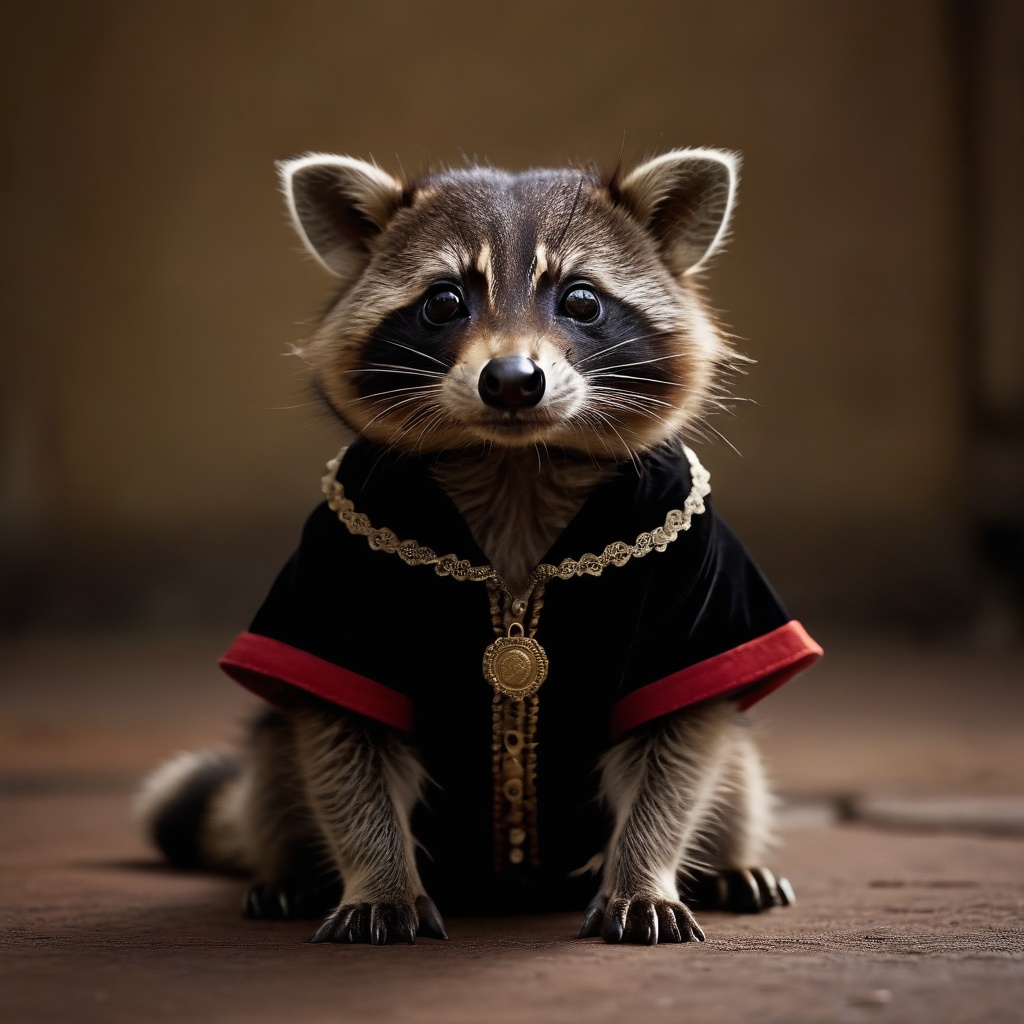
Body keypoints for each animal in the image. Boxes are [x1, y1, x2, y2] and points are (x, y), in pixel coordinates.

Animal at [137, 149, 822, 945]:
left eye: (581, 300)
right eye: (442, 302)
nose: (513, 381)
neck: (516, 463)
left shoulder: (699, 579)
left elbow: (679, 746)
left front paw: (644, 871)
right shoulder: (336, 573)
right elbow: (344, 744)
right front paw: (378, 877)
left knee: (733, 765)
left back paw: (726, 862)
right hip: (278, 750)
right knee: (282, 751)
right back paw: (293, 871)